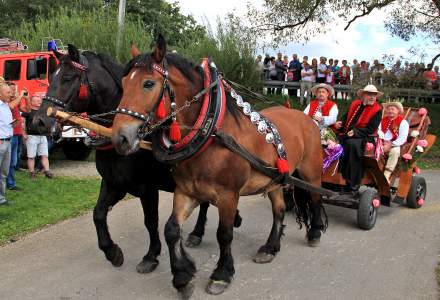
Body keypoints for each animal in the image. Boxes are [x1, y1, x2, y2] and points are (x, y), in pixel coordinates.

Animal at [31, 44, 239, 274]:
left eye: (68, 78)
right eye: (50, 77)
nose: (39, 121)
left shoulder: (147, 188)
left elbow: (150, 221)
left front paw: (151, 256)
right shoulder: (114, 183)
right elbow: (98, 213)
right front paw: (112, 252)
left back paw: (198, 232)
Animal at [111, 36, 324, 296]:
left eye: (148, 83)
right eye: (123, 83)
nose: (120, 138)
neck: (210, 133)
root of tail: (307, 118)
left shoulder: (228, 195)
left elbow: (224, 234)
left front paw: (221, 274)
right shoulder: (187, 191)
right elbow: (171, 229)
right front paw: (183, 276)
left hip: (311, 173)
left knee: (315, 198)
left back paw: (315, 232)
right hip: (275, 180)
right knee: (280, 210)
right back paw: (270, 247)